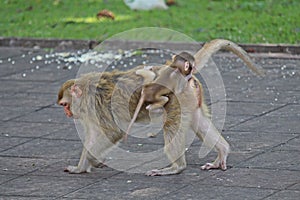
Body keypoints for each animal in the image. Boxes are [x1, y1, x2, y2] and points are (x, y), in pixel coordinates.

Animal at [57, 38, 264, 175]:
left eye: (65, 104)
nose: (67, 113)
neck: (87, 90)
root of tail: (183, 74)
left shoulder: (96, 107)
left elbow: (112, 132)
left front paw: (89, 162)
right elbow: (93, 136)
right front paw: (83, 166)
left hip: (177, 99)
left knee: (172, 126)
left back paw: (176, 167)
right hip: (190, 99)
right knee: (198, 121)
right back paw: (222, 152)